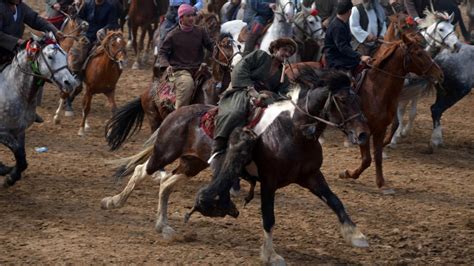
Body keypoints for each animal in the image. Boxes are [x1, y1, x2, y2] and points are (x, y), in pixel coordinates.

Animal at [0, 33, 78, 187]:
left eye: (65, 55)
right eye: (50, 57)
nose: (71, 83)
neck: (15, 89)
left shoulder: (19, 131)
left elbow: (22, 157)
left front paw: (12, 175)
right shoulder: (3, 133)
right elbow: (19, 154)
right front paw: (9, 177)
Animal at [102, 68, 372, 264]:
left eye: (358, 99)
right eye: (341, 100)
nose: (362, 135)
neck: (293, 130)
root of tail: (177, 113)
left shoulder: (312, 176)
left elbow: (335, 201)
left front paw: (356, 236)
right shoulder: (269, 182)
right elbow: (268, 217)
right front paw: (271, 255)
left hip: (193, 163)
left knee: (167, 184)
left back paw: (164, 226)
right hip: (164, 153)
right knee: (141, 171)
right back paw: (114, 201)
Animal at [105, 33, 235, 150]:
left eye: (237, 46)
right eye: (226, 45)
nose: (235, 63)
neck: (213, 88)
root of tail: (145, 93)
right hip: (153, 117)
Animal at [336, 32, 444, 191]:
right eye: (418, 53)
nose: (440, 74)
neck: (375, 90)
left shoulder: (381, 128)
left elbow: (377, 156)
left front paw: (380, 181)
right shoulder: (365, 130)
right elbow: (367, 159)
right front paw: (348, 173)